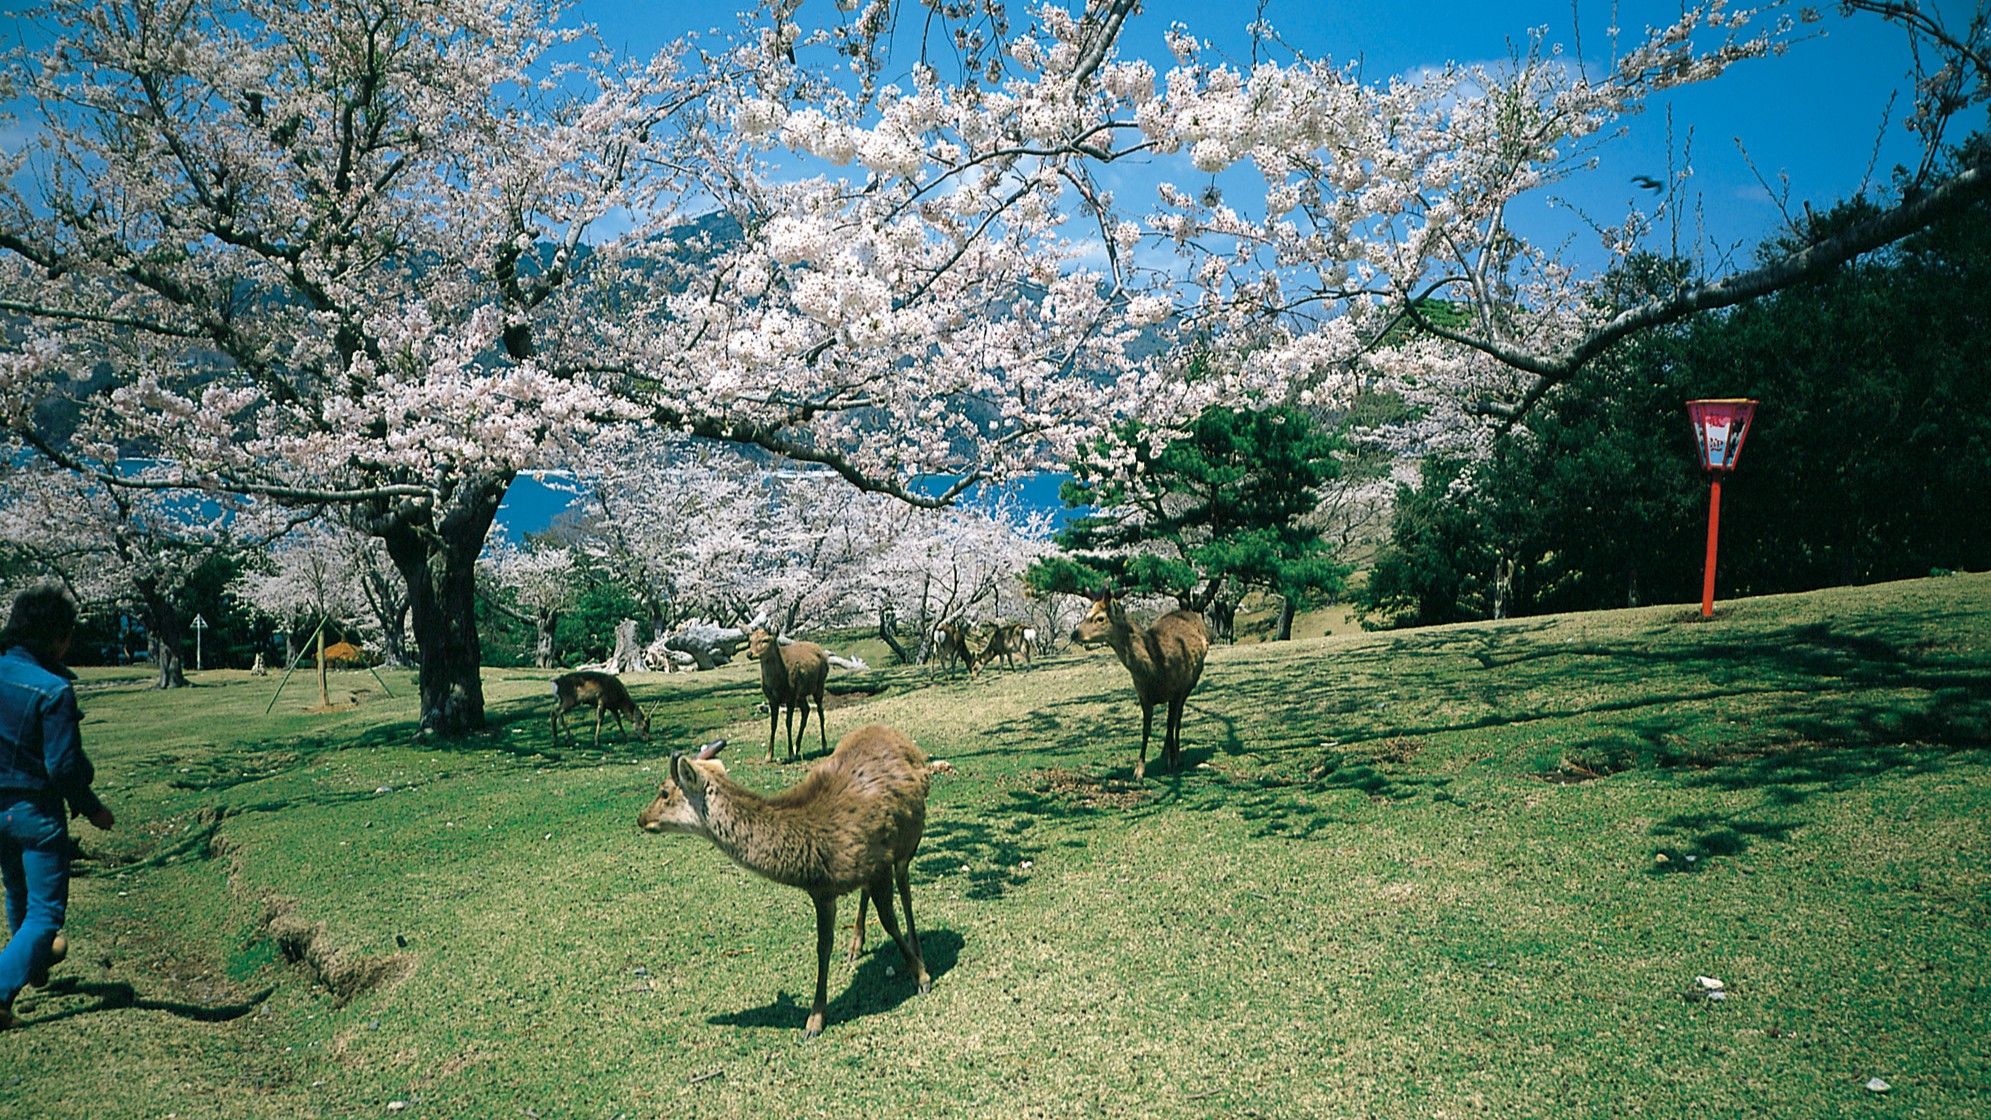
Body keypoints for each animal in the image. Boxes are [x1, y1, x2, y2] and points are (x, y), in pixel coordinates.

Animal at [636, 724, 935, 1039]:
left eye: (664, 791)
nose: (641, 818)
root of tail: (899, 737)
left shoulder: (881, 864)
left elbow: (890, 922)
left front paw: (921, 976)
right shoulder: (823, 891)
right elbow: (823, 946)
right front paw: (815, 1018)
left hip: (910, 841)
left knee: (905, 889)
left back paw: (916, 946)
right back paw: (856, 945)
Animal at [747, 627, 830, 763]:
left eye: (765, 640)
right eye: (750, 640)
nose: (749, 653)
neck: (777, 683)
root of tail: (821, 651)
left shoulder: (790, 697)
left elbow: (788, 723)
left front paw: (790, 754)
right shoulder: (772, 700)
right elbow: (773, 725)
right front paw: (768, 756)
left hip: (819, 685)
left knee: (820, 713)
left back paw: (824, 746)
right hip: (800, 694)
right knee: (806, 710)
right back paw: (797, 748)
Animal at [1071, 592, 1209, 780]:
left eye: (1100, 618)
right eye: (1087, 614)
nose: (1074, 633)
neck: (1155, 668)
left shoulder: (1175, 691)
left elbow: (1170, 724)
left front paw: (1172, 763)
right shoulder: (1143, 695)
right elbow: (1146, 730)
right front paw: (1139, 771)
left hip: (1191, 683)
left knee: (1177, 720)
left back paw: (1176, 755)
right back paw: (1165, 753)